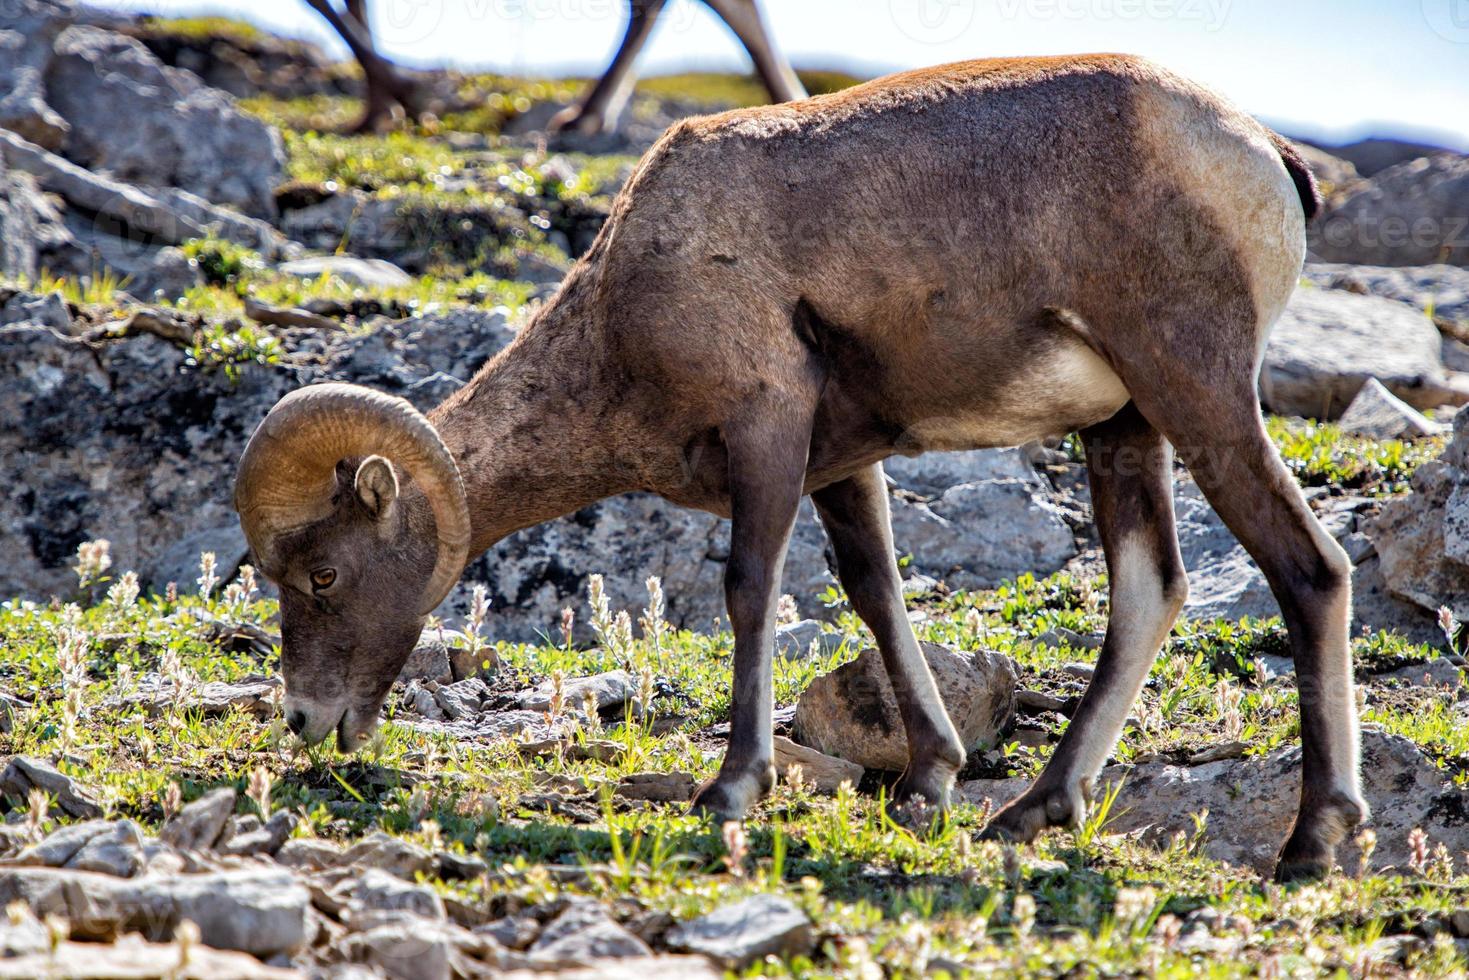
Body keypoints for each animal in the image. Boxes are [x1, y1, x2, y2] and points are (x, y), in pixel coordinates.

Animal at [232, 53, 1363, 881]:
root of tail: (1261, 154)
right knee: (1147, 590)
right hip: (1124, 428)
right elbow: (874, 594)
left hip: (1195, 393)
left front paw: (729, 789)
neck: (630, 298)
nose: (308, 721)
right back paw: (1032, 812)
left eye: (323, 574)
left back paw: (1310, 845)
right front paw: (928, 781)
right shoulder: (840, 466)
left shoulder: (766, 433)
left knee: (1308, 571)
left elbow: (750, 591)